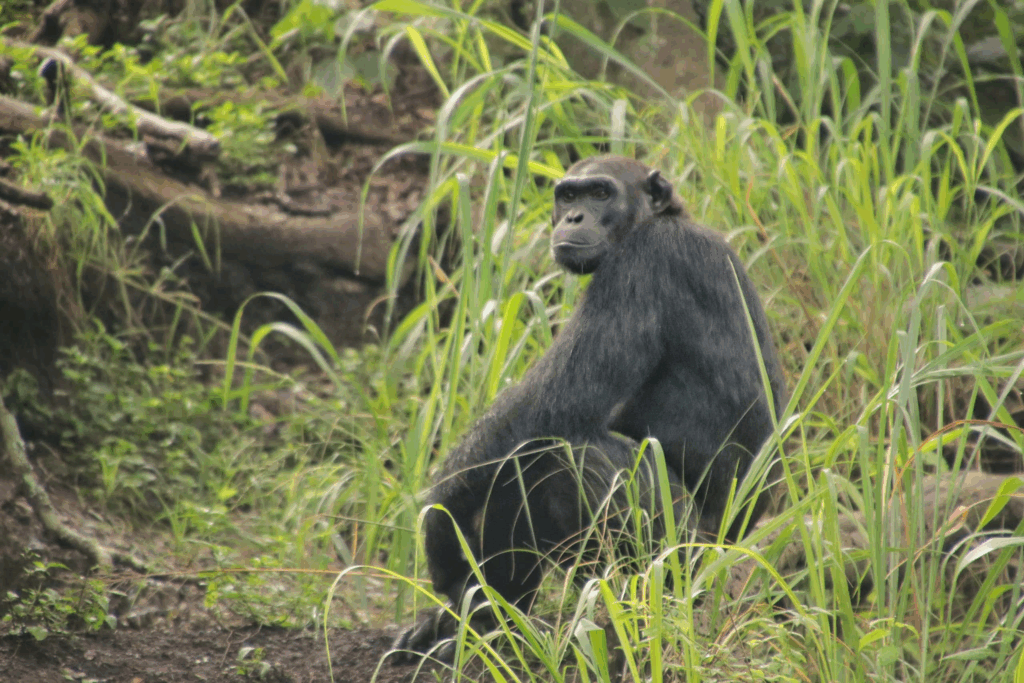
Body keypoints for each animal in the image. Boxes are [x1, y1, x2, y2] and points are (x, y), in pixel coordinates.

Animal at [392, 155, 786, 662]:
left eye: (601, 194)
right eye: (568, 196)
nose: (575, 217)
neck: (658, 220)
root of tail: (731, 561)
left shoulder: (643, 265)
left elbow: (551, 404)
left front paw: (439, 521)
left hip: (677, 558)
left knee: (561, 457)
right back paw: (487, 617)